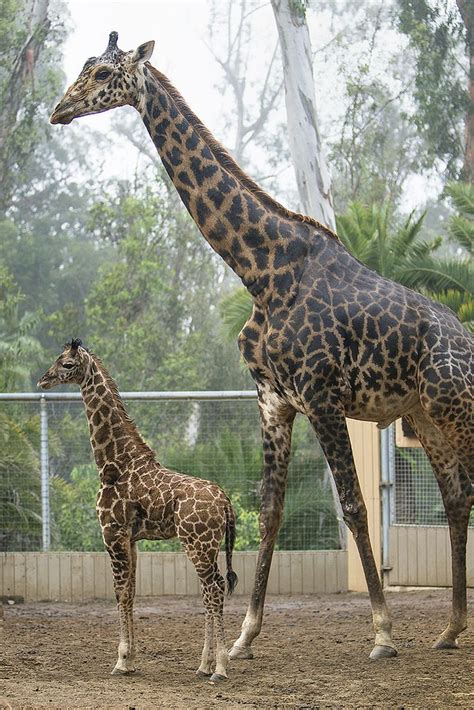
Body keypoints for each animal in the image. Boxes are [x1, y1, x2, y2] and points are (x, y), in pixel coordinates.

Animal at [38, 340, 237, 684]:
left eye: (66, 364)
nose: (42, 380)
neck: (113, 463)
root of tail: (225, 501)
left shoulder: (112, 533)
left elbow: (119, 593)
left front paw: (121, 660)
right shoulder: (131, 540)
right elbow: (131, 592)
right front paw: (131, 660)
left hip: (198, 544)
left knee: (213, 590)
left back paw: (220, 669)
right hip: (208, 547)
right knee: (211, 590)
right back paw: (204, 665)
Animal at [50, 33, 472, 664]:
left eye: (102, 73)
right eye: (83, 66)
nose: (60, 109)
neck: (262, 272)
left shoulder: (321, 395)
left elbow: (353, 505)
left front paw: (382, 633)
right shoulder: (274, 398)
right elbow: (269, 511)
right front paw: (244, 637)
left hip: (454, 409)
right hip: (425, 415)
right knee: (455, 494)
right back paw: (449, 630)